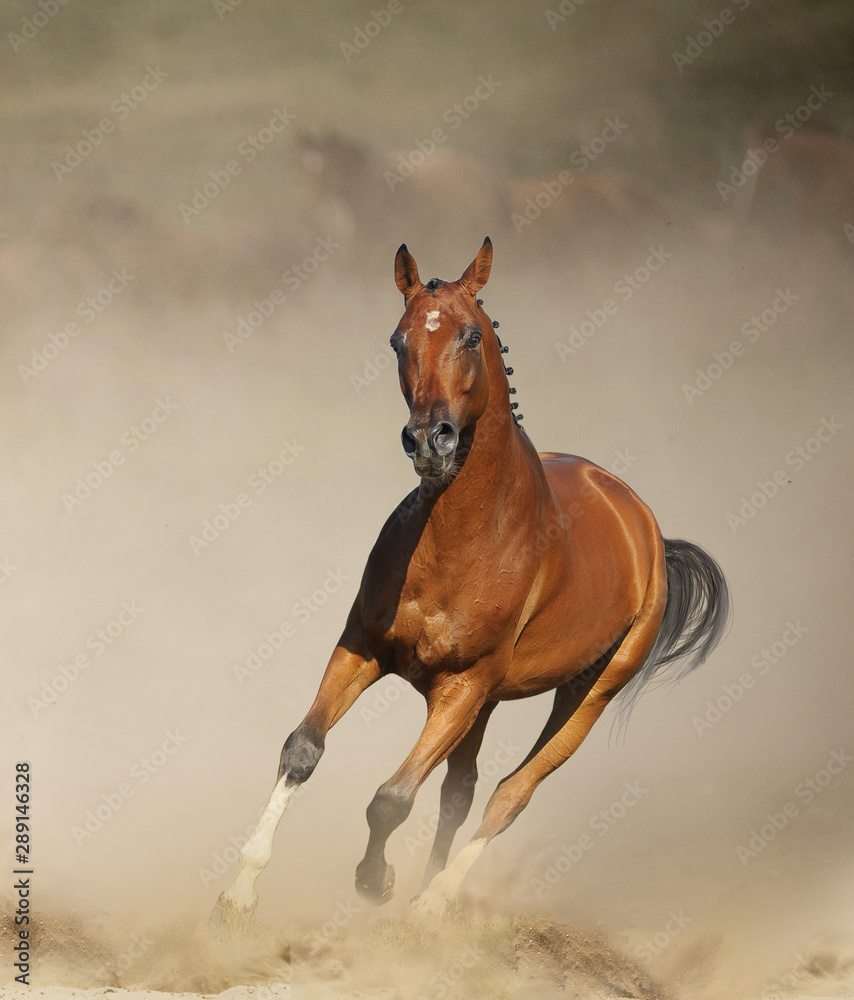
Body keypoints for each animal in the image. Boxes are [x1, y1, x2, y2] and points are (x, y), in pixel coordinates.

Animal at [214, 236, 730, 923]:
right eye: (398, 340)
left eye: (471, 336)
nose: (429, 440)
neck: (464, 540)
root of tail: (648, 533)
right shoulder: (362, 649)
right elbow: (303, 749)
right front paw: (241, 890)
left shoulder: (459, 686)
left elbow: (392, 797)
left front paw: (376, 883)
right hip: (488, 701)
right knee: (461, 791)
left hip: (586, 695)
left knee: (512, 794)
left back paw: (434, 904)